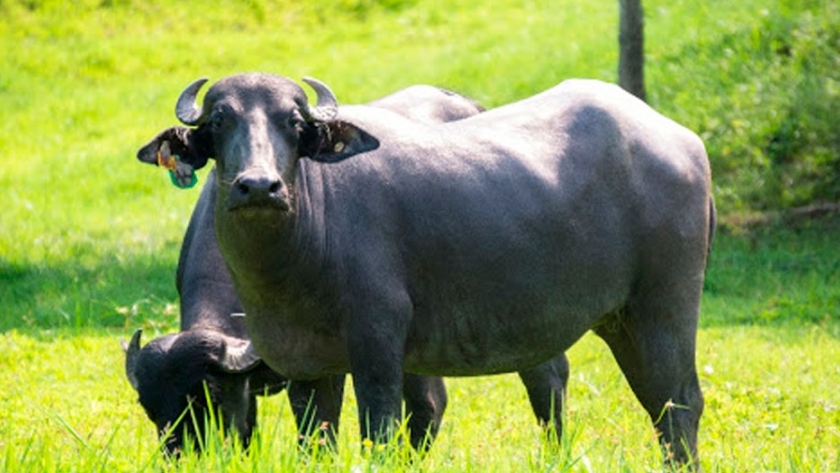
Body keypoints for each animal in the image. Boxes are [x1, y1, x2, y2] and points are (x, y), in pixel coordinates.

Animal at [136, 74, 708, 464]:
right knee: (583, 390)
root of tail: (680, 139)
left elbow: (385, 429)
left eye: (294, 124)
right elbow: (316, 438)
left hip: (664, 307)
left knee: (678, 403)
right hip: (595, 319)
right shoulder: (310, 365)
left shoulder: (378, 346)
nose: (258, 186)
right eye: (217, 122)